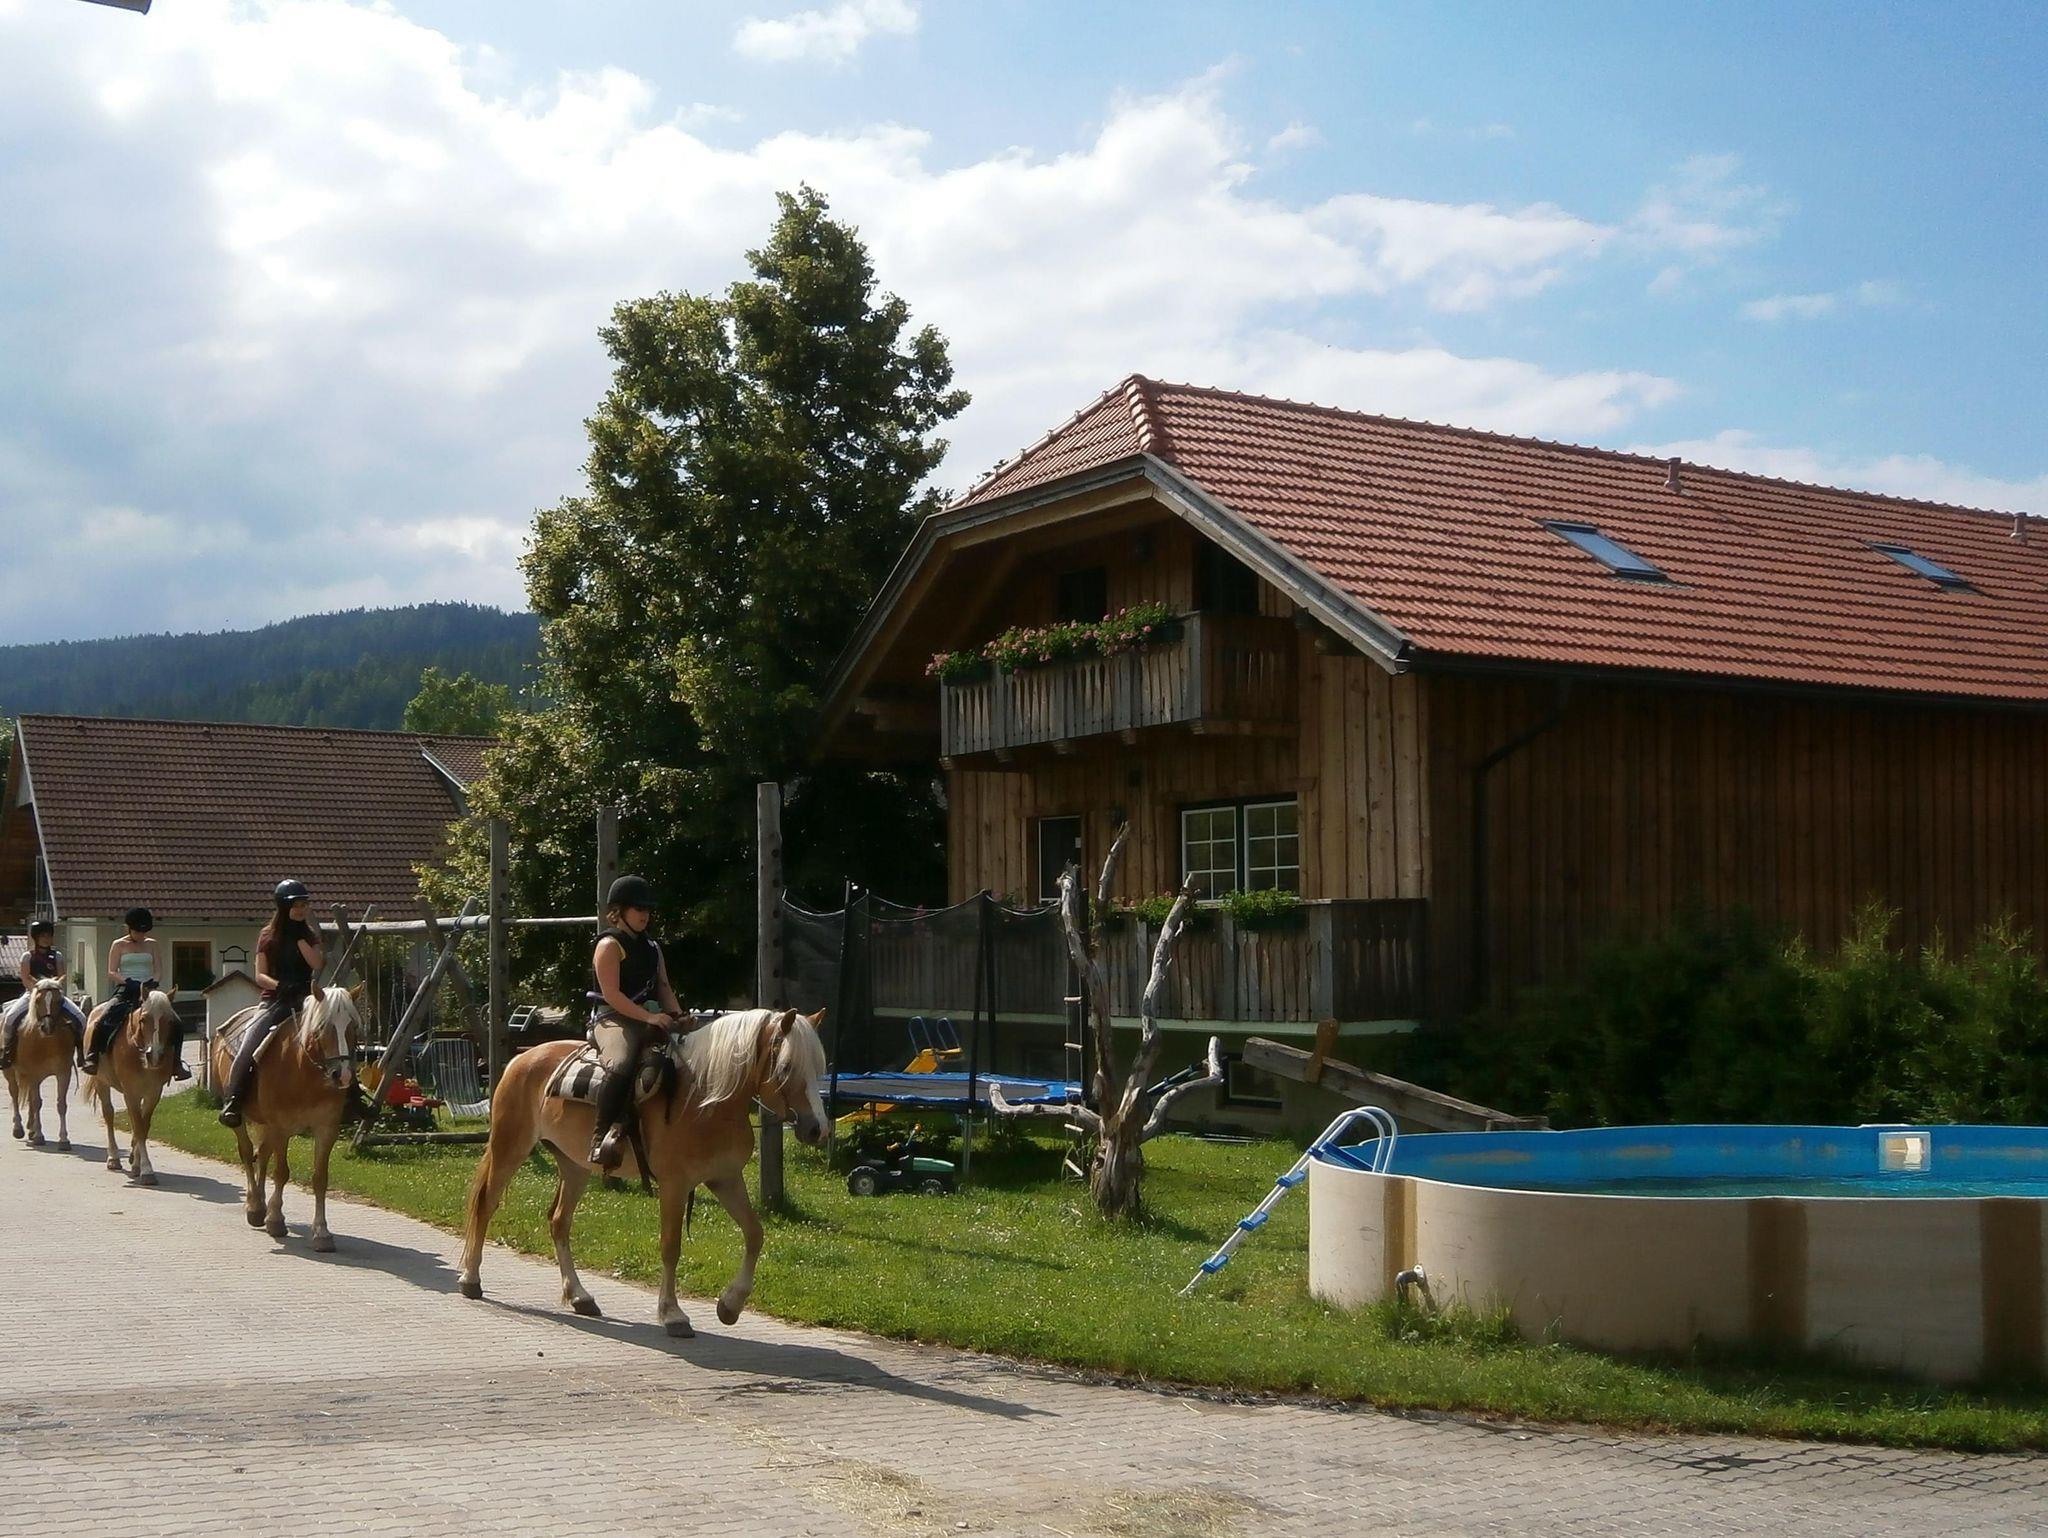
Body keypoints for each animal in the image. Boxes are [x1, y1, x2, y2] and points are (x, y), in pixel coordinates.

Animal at [6, 978, 79, 1149]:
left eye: (59, 1000)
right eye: (38, 1000)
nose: (47, 1027)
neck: (45, 1042)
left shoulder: (63, 1073)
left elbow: (61, 1104)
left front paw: (64, 1140)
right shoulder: (33, 1073)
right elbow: (37, 1102)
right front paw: (39, 1136)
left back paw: (31, 1130)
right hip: (10, 1072)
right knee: (15, 1093)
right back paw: (19, 1129)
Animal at [79, 986, 181, 1184]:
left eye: (170, 1021)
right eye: (143, 1019)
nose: (155, 1056)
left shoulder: (153, 1093)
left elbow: (143, 1125)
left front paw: (136, 1164)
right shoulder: (131, 1093)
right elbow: (139, 1128)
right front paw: (147, 1170)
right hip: (102, 1082)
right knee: (109, 1114)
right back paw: (113, 1159)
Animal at [207, 985, 364, 1252]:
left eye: (352, 1026)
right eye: (322, 1028)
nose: (342, 1075)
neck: (303, 1070)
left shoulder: (326, 1129)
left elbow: (320, 1178)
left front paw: (322, 1233)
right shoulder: (281, 1126)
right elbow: (281, 1172)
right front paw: (276, 1220)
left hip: (266, 1123)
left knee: (262, 1154)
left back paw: (260, 1207)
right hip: (242, 1119)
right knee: (247, 1152)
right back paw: (255, 1208)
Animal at [458, 1007, 828, 1337]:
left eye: (819, 1067)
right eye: (786, 1066)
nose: (817, 1129)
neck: (704, 1101)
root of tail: (521, 1060)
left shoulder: (725, 1179)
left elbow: (755, 1234)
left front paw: (729, 1305)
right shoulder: (674, 1185)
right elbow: (671, 1246)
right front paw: (673, 1314)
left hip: (574, 1166)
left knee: (559, 1221)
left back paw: (580, 1297)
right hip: (510, 1148)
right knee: (486, 1205)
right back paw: (471, 1279)